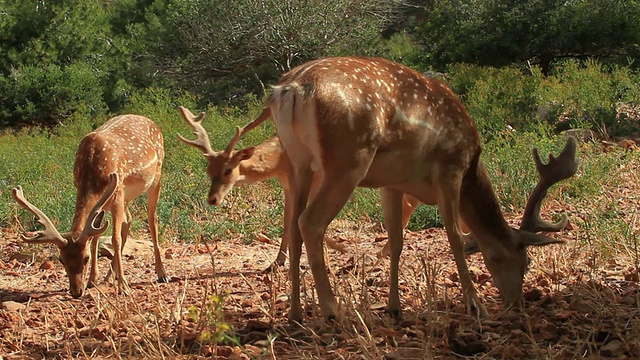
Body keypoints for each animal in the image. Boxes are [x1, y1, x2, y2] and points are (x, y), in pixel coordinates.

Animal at [13, 115, 168, 298]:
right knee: (128, 220)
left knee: (152, 220)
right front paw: (92, 280)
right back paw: (110, 276)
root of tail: (149, 120)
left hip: (155, 177)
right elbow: (95, 237)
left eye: (85, 258)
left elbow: (114, 239)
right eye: (61, 259)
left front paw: (123, 287)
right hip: (126, 197)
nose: (76, 291)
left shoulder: (117, 191)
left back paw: (161, 273)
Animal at [232, 56, 576, 324]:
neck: (471, 167)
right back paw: (332, 311)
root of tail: (288, 90)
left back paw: (295, 314)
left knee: (293, 225)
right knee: (310, 222)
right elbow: (453, 236)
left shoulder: (392, 183)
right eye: (524, 261)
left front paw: (395, 309)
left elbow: (396, 242)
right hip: (347, 160)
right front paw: (476, 306)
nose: (515, 303)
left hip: (298, 163)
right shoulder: (449, 169)